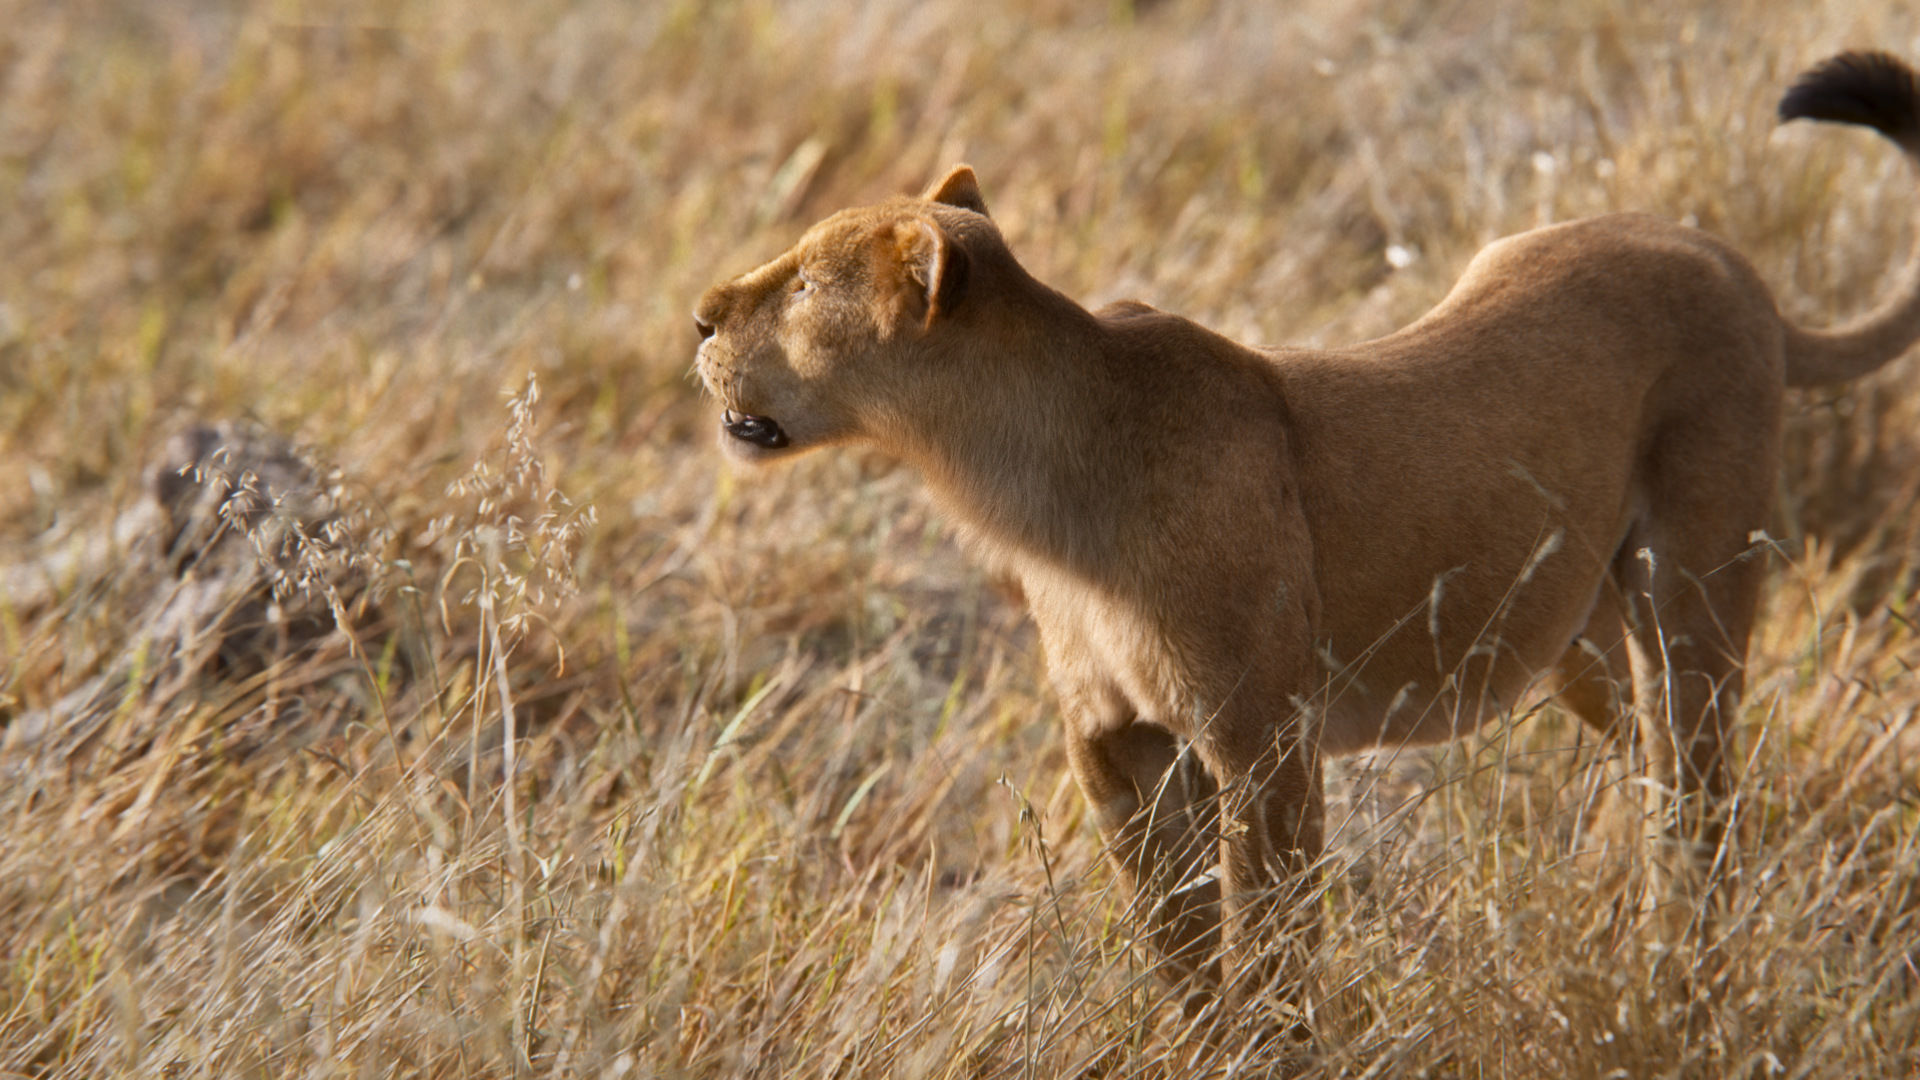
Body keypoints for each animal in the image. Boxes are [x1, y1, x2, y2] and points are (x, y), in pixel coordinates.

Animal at [692, 52, 1920, 1029]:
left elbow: (1271, 942)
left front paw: (1272, 1045)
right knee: (1658, 770)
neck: (1028, 488)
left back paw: (1681, 963)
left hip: (1689, 598)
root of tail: (1729, 260)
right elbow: (1178, 944)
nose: (699, 318)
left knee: (1697, 793)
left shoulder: (1266, 746)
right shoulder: (1117, 748)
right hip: (1577, 636)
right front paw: (1194, 1043)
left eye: (802, 284)